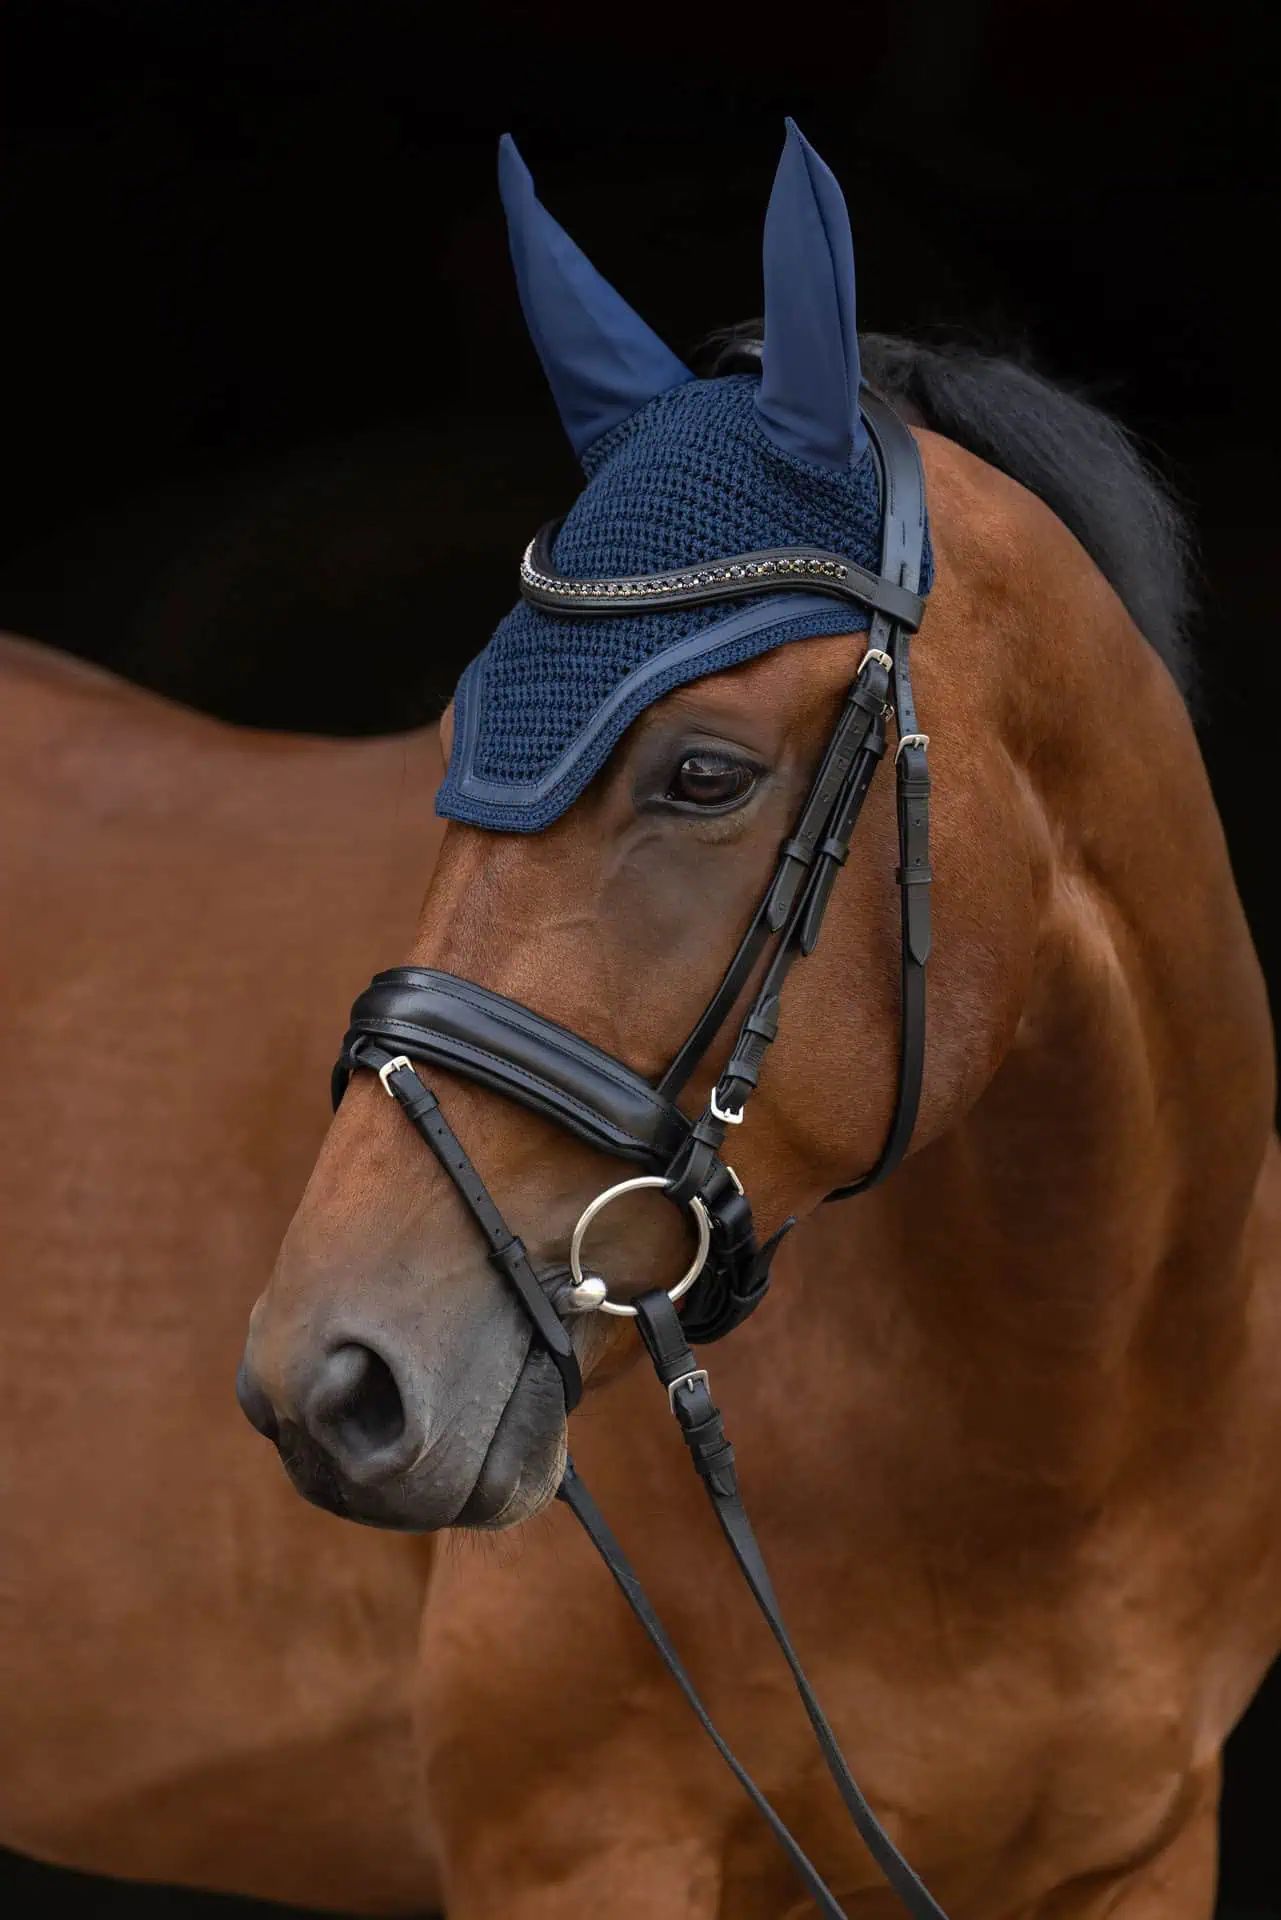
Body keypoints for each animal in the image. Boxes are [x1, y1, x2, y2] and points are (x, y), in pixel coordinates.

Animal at [239, 128, 1281, 1917]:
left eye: (706, 773)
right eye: (450, 731)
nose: (331, 1381)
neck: (1063, 1433)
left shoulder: (1149, 1849)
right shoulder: (577, 1852)